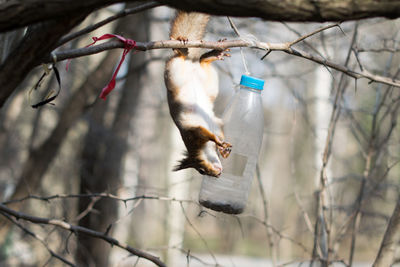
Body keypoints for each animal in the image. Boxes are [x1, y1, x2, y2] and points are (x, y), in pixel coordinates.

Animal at [165, 11, 233, 178]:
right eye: (202, 171)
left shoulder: (201, 131)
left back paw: (184, 45)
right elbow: (214, 134)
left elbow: (212, 134)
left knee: (186, 58)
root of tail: (190, 63)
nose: (218, 174)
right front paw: (221, 146)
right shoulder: (202, 130)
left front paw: (221, 146)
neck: (201, 149)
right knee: (199, 61)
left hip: (181, 74)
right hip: (193, 77)